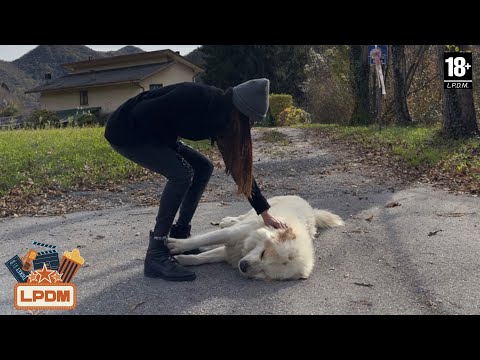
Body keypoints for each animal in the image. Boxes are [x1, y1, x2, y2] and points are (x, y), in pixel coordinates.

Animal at [167, 195, 344, 280]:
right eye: (263, 253)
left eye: (264, 272)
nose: (243, 267)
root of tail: (310, 208)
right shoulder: (233, 235)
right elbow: (206, 238)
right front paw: (175, 245)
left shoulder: (232, 253)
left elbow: (204, 257)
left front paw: (183, 260)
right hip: (261, 208)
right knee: (244, 215)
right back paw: (227, 220)